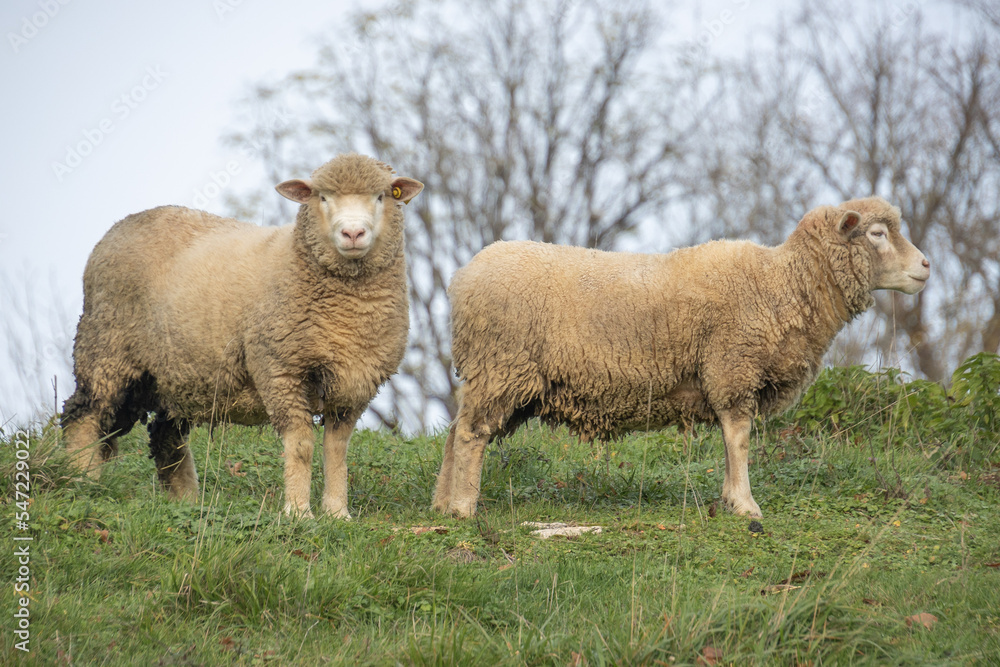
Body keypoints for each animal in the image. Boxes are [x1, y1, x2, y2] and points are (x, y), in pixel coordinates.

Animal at [62, 154, 422, 520]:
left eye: (381, 196)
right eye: (322, 197)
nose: (352, 233)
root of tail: (119, 226)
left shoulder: (355, 384)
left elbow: (337, 450)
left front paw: (337, 512)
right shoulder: (280, 370)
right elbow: (301, 445)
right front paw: (298, 512)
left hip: (175, 375)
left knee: (164, 436)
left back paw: (185, 501)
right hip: (107, 348)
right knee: (85, 414)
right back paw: (82, 477)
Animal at [434, 196, 932, 520]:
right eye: (878, 234)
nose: (926, 266)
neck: (781, 286)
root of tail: (462, 279)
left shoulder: (730, 374)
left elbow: (732, 442)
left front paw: (730, 498)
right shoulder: (732, 366)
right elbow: (739, 438)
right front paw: (745, 505)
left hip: (499, 376)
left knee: (457, 431)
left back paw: (441, 503)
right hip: (501, 366)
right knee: (472, 435)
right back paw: (463, 508)